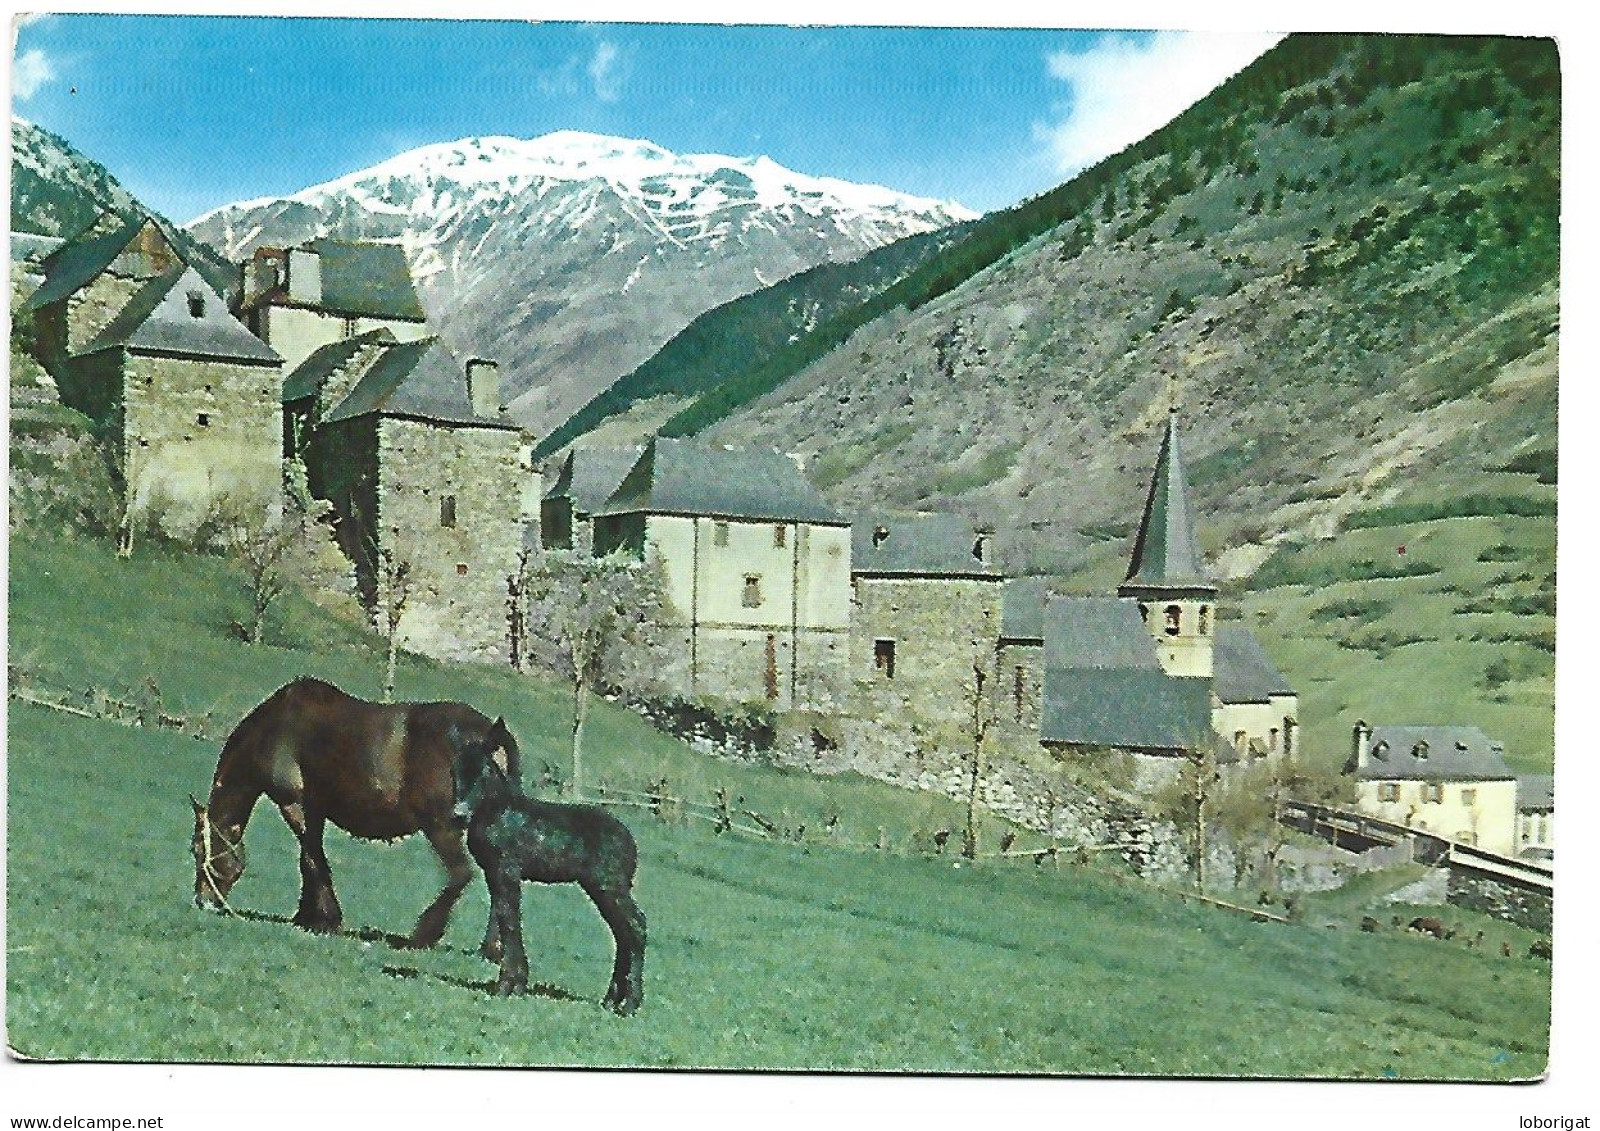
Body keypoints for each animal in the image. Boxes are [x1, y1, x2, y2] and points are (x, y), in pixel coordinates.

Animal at [189, 678, 518, 953]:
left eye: (196, 849)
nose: (203, 901)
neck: (275, 728)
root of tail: (488, 735)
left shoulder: (294, 804)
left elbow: (312, 859)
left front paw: (326, 919)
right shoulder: (315, 808)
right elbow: (309, 859)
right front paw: (308, 916)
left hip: (440, 827)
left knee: (461, 874)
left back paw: (424, 934)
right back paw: (493, 948)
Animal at [451, 719, 643, 1023]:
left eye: (484, 771)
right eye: (455, 769)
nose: (458, 815)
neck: (497, 810)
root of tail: (631, 843)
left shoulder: (507, 869)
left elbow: (509, 918)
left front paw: (507, 986)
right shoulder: (493, 872)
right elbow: (504, 916)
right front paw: (516, 984)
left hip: (610, 884)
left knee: (636, 926)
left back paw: (630, 1005)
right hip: (599, 887)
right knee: (622, 932)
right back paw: (611, 1000)